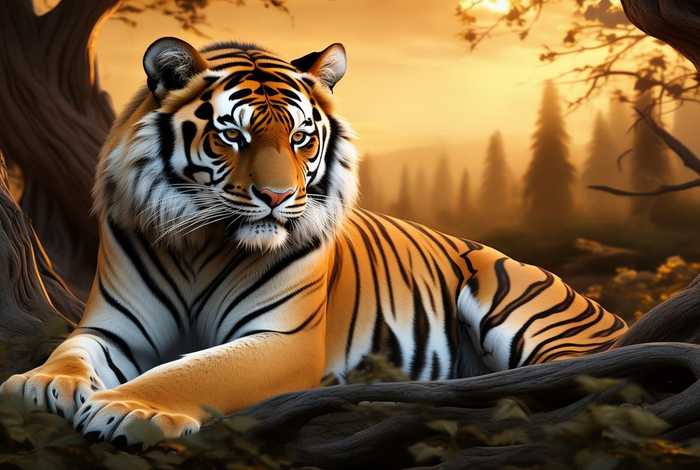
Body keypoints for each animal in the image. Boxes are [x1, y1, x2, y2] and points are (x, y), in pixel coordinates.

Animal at [0, 37, 628, 446]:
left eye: (301, 138)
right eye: (233, 135)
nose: (278, 196)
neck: (204, 244)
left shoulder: (283, 340)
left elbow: (191, 371)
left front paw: (129, 408)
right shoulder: (113, 325)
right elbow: (72, 352)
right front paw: (40, 385)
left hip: (513, 299)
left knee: (570, 376)